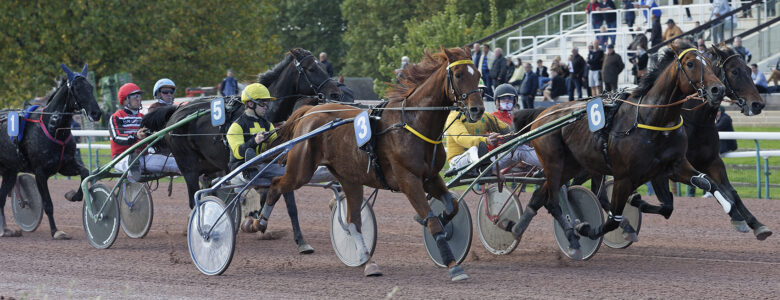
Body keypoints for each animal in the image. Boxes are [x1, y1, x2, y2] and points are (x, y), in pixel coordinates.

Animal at [0, 63, 102, 239]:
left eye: (90, 87)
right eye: (76, 88)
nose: (96, 113)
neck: (53, 127)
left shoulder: (65, 165)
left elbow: (84, 172)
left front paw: (72, 195)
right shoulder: (40, 172)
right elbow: (48, 204)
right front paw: (56, 231)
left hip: (9, 171)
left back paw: (5, 229)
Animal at [142, 48, 342, 253]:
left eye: (323, 66)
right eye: (311, 68)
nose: (336, 93)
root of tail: (175, 113)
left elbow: (284, 203)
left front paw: (298, 240)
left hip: (210, 166)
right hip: (188, 166)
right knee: (194, 199)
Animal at [256, 47, 482, 282]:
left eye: (477, 74)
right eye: (458, 75)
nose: (477, 109)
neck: (412, 123)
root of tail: (308, 112)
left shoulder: (431, 177)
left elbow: (452, 206)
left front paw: (444, 221)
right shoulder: (408, 180)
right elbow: (432, 221)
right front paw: (453, 265)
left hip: (349, 178)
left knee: (353, 221)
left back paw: (368, 262)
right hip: (301, 171)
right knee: (276, 185)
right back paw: (259, 222)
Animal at [506, 40, 732, 251]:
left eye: (709, 63)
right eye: (691, 63)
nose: (717, 89)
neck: (652, 119)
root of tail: (543, 113)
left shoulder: (671, 166)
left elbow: (696, 189)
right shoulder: (624, 177)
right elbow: (613, 218)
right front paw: (587, 228)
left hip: (571, 166)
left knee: (541, 197)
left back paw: (516, 228)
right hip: (554, 162)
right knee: (553, 201)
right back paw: (570, 237)